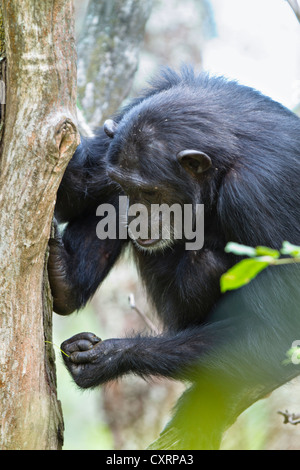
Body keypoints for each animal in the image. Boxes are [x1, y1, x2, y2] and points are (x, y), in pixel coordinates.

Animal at [48, 66, 300, 448]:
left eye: (151, 192)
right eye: (127, 185)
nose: (136, 212)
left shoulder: (259, 197)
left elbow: (278, 333)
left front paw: (109, 358)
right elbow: (73, 191)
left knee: (206, 264)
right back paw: (65, 281)